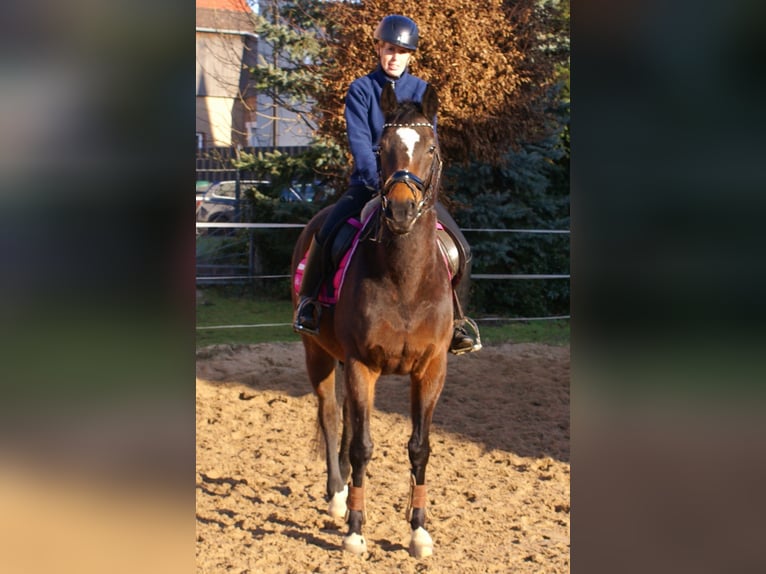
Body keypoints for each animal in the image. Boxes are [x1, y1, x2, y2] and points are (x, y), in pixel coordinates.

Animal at [290, 82, 452, 558]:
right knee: (331, 417)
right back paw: (337, 496)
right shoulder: (363, 365)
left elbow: (419, 447)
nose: (400, 211)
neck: (405, 279)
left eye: (430, 147)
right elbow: (362, 446)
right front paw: (356, 531)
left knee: (345, 420)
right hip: (318, 354)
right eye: (382, 148)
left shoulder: (431, 369)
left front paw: (418, 529)